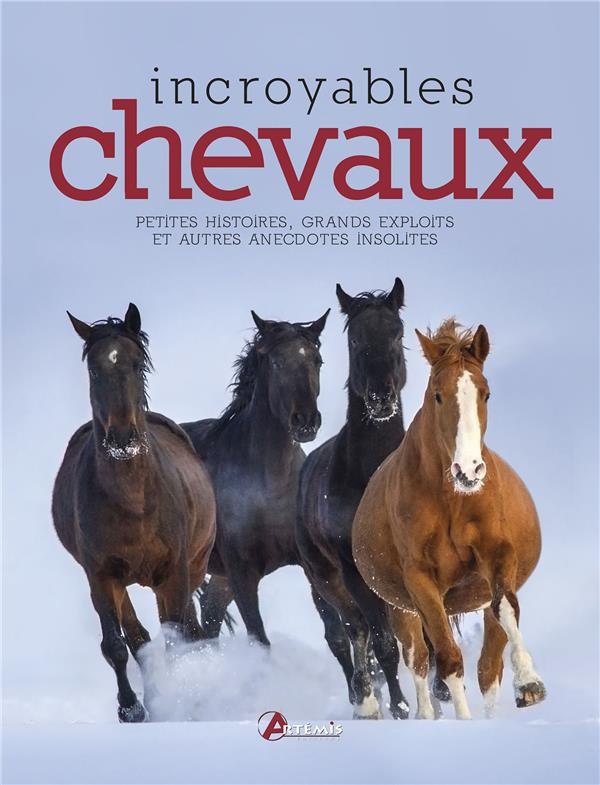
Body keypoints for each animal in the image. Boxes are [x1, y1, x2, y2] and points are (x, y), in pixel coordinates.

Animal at [52, 303, 216, 722]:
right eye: (94, 369)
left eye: (137, 363)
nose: (122, 438)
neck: (134, 503)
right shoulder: (100, 575)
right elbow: (116, 644)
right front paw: (131, 709)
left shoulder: (175, 572)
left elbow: (178, 640)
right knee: (139, 637)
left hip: (190, 567)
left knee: (191, 632)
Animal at [181, 309, 329, 646]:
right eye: (276, 362)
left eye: (317, 360)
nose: (306, 421)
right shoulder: (242, 574)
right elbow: (259, 639)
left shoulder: (310, 564)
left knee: (209, 617)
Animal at [296, 278, 415, 720]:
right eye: (355, 341)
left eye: (396, 333)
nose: (381, 398)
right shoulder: (355, 570)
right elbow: (381, 642)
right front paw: (399, 706)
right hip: (324, 583)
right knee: (347, 634)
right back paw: (365, 699)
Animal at [353, 319, 547, 719]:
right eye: (438, 395)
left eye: (485, 394)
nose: (468, 470)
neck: (452, 500)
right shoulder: (421, 581)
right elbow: (447, 659)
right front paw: (461, 721)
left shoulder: (498, 556)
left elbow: (507, 610)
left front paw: (530, 684)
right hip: (402, 607)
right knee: (419, 661)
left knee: (489, 666)